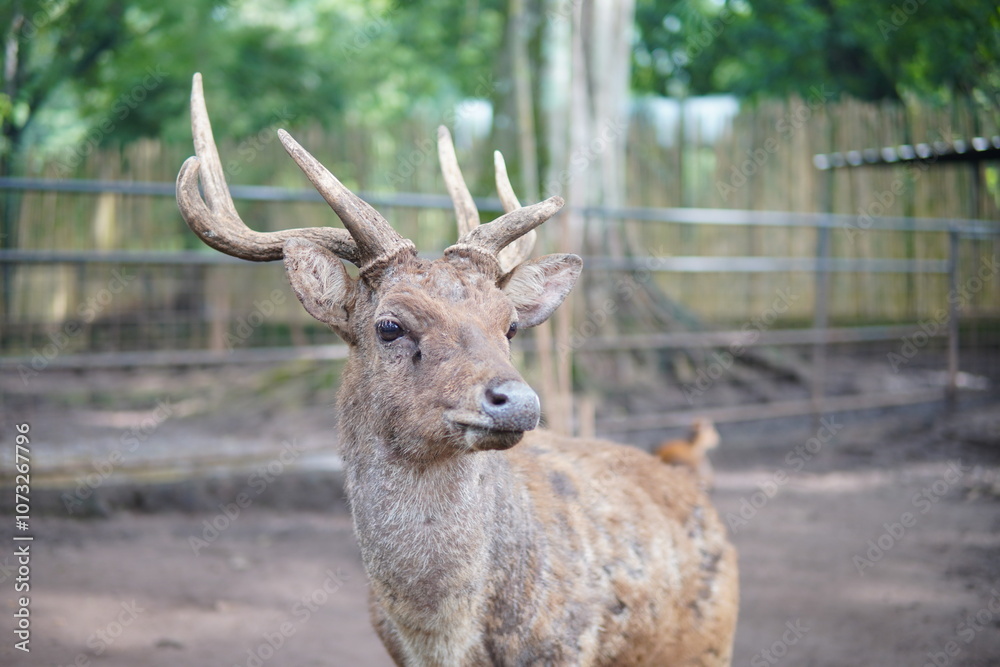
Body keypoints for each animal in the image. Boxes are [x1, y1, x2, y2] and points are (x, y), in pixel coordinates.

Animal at [176, 73, 738, 666]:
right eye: (390, 325)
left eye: (509, 325)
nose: (519, 401)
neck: (445, 644)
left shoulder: (568, 647)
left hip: (710, 646)